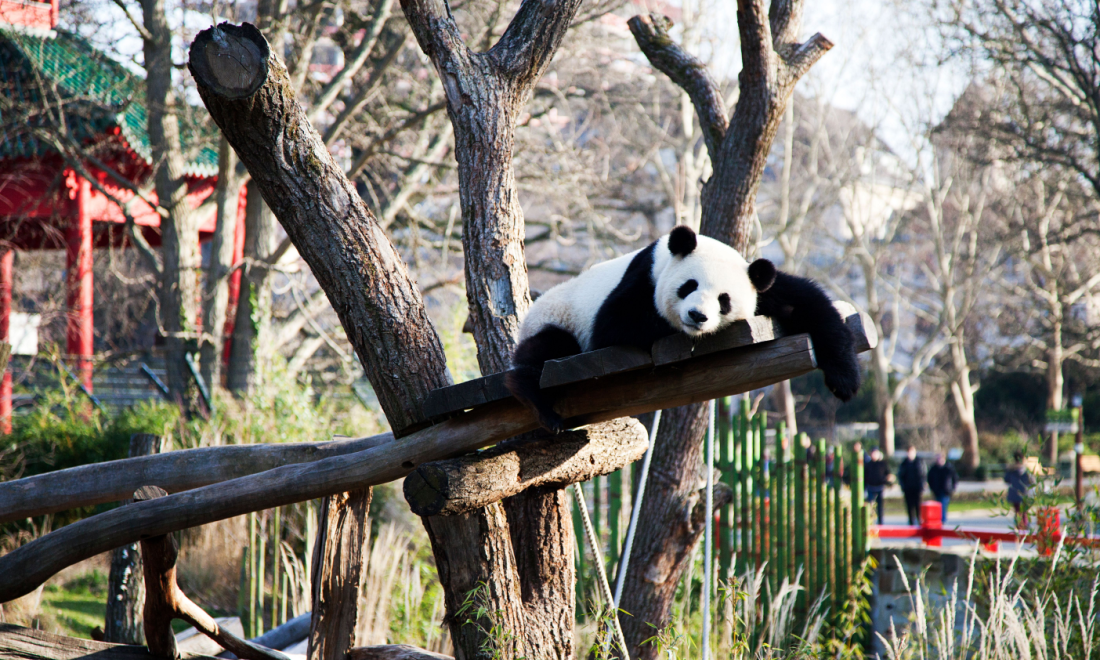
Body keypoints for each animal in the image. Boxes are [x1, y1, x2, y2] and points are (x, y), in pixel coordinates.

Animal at [506, 225, 861, 433]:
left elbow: (806, 302)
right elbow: (614, 324)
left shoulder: (761, 285)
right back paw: (542, 407)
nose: (697, 316)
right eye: (689, 285)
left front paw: (845, 380)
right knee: (545, 352)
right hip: (554, 319)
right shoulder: (641, 278)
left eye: (724, 299)